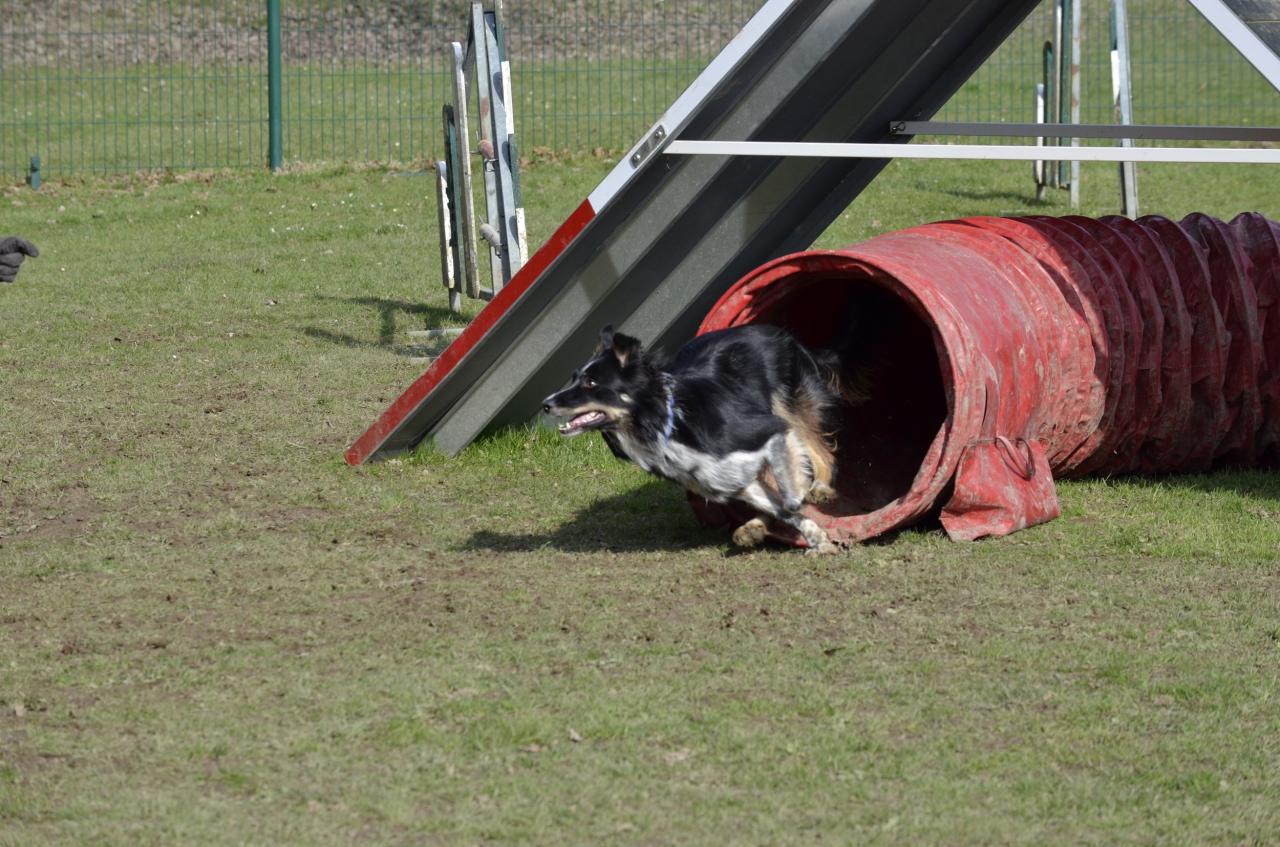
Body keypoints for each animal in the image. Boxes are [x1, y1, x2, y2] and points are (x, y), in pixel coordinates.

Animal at [542, 322, 860, 555]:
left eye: (591, 382)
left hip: (788, 406)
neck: (668, 422)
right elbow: (780, 506)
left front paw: (804, 504)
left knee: (821, 453)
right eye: (575, 378)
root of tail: (777, 331)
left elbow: (790, 493)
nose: (545, 404)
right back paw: (753, 528)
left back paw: (819, 487)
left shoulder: (769, 429)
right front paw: (818, 538)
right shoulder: (727, 478)